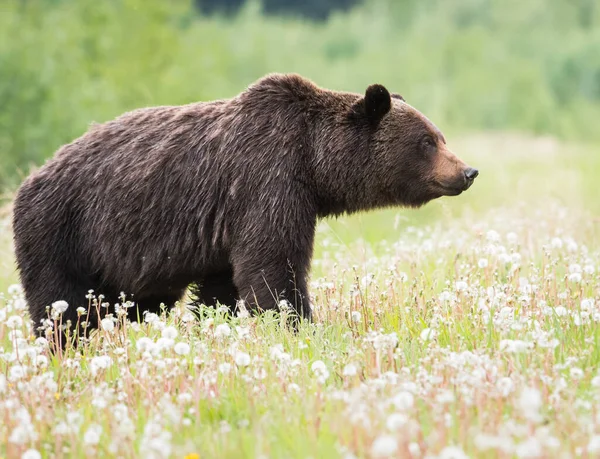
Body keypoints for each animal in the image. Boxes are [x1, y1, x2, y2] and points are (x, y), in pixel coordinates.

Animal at [10, 73, 478, 336]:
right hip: (63, 230)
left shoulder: (224, 227)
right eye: (427, 141)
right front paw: (300, 327)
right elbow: (273, 267)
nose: (468, 171)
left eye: (440, 137)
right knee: (61, 305)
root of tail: (29, 179)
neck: (313, 164)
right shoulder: (266, 182)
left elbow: (222, 286)